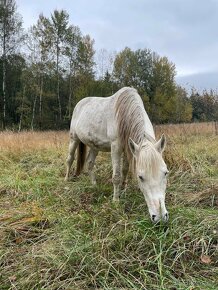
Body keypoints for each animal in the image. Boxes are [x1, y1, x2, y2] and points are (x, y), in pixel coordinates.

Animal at [64, 86, 169, 222]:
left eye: (166, 173)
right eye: (140, 177)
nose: (160, 217)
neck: (125, 113)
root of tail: (80, 103)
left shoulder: (129, 148)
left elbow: (124, 170)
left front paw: (123, 190)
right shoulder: (116, 148)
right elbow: (116, 176)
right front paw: (116, 201)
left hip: (94, 146)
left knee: (90, 163)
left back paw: (94, 185)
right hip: (74, 139)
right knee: (70, 159)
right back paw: (66, 179)